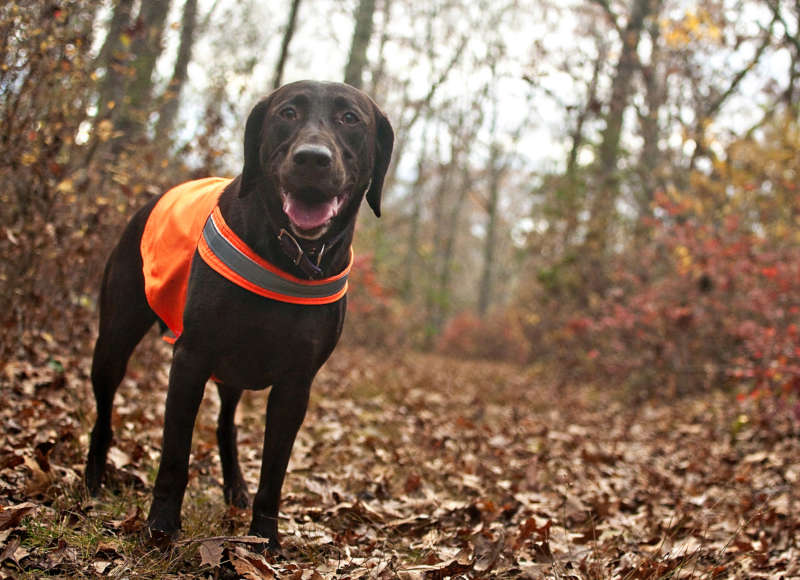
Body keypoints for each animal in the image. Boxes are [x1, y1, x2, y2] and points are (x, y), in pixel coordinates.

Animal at [86, 80, 394, 548]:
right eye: (287, 113)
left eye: (350, 118)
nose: (312, 158)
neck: (289, 255)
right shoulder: (190, 360)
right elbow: (174, 456)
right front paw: (161, 528)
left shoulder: (295, 385)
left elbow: (275, 471)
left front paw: (265, 538)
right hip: (114, 343)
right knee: (104, 412)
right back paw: (92, 476)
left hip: (232, 371)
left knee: (225, 425)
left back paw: (235, 487)